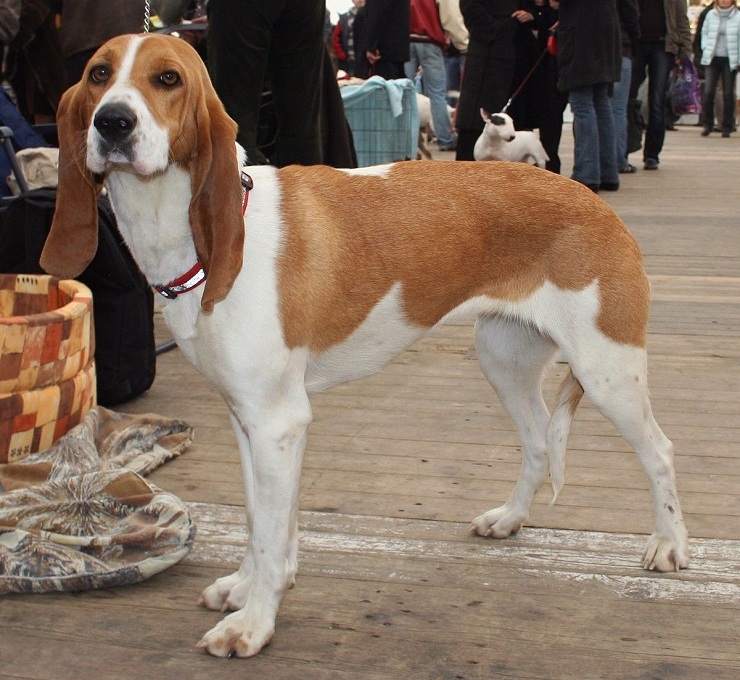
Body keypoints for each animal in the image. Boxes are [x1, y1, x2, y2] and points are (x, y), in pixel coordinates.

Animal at [40, 33, 688, 660]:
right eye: (98, 74)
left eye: (168, 78)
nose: (113, 122)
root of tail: (597, 203)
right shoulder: (250, 420)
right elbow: (262, 521)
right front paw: (250, 589)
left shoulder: (277, 420)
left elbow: (270, 534)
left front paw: (254, 623)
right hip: (504, 360)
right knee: (535, 442)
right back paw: (510, 519)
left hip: (608, 371)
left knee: (659, 451)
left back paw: (669, 545)